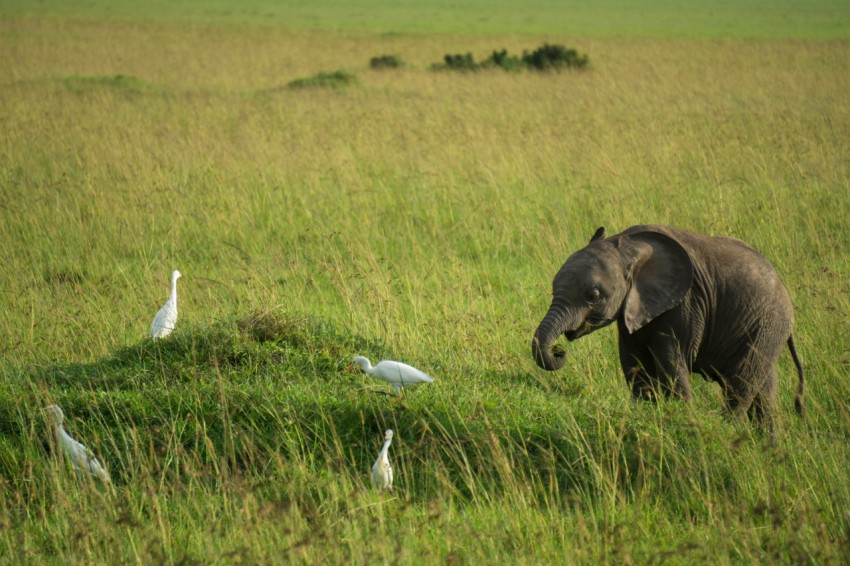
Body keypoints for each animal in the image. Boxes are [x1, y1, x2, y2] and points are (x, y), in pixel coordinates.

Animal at [528, 225, 800, 430]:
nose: (559, 350)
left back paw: (727, 430)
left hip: (766, 325)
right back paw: (769, 449)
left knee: (742, 382)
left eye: (592, 296)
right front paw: (645, 411)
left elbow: (671, 362)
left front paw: (684, 418)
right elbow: (633, 362)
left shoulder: (685, 305)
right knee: (764, 393)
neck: (628, 246)